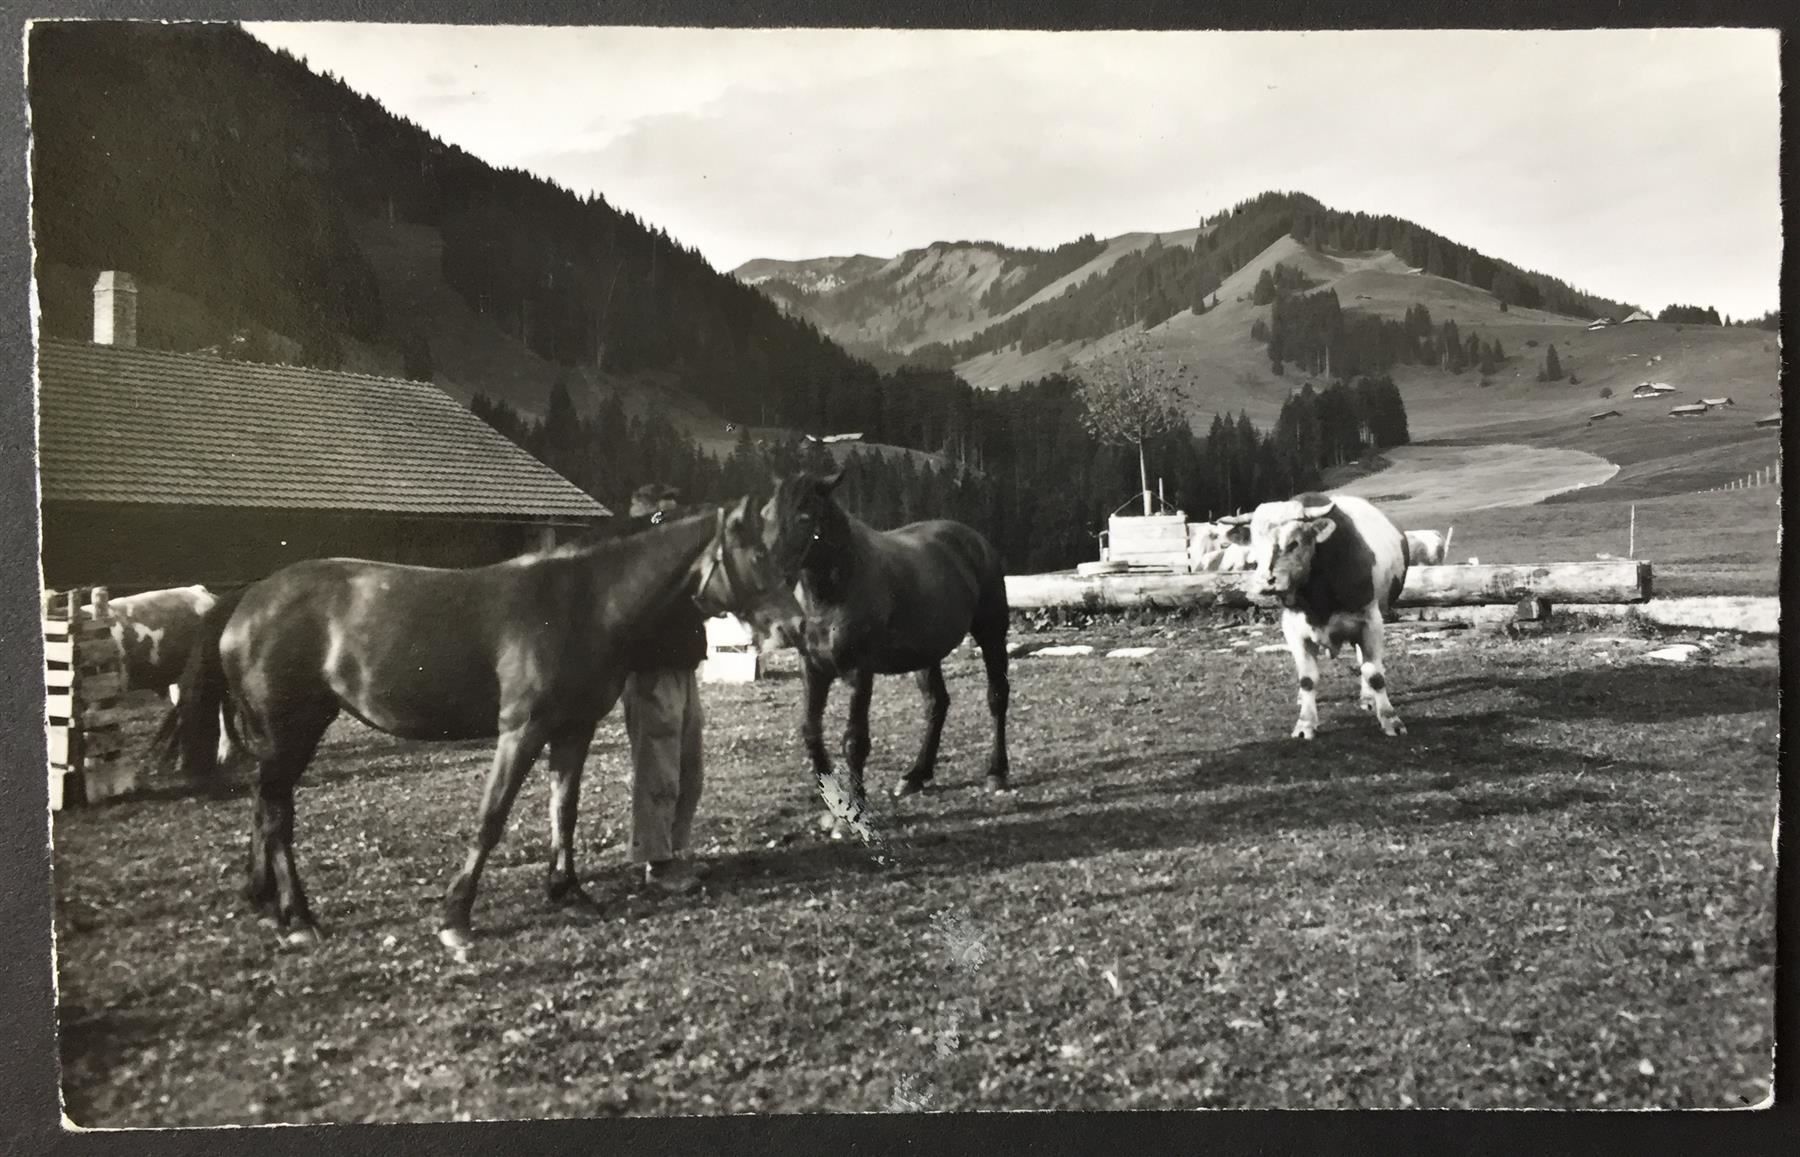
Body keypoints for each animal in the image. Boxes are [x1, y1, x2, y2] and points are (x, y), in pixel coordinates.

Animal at [159, 494, 802, 952]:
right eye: (756, 556)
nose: (794, 628)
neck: (581, 603)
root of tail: (248, 599)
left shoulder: (573, 730)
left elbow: (563, 811)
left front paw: (567, 891)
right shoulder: (521, 731)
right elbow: (492, 819)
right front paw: (456, 918)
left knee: (264, 807)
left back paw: (264, 899)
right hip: (292, 733)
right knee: (277, 816)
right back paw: (297, 917)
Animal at [760, 469, 1012, 836]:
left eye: (804, 516)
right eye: (765, 515)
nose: (766, 576)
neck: (833, 593)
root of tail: (975, 540)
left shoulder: (860, 673)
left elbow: (854, 741)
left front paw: (853, 813)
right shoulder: (813, 669)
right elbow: (811, 733)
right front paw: (832, 810)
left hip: (991, 634)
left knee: (997, 696)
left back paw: (997, 772)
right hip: (926, 655)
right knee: (936, 704)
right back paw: (916, 776)